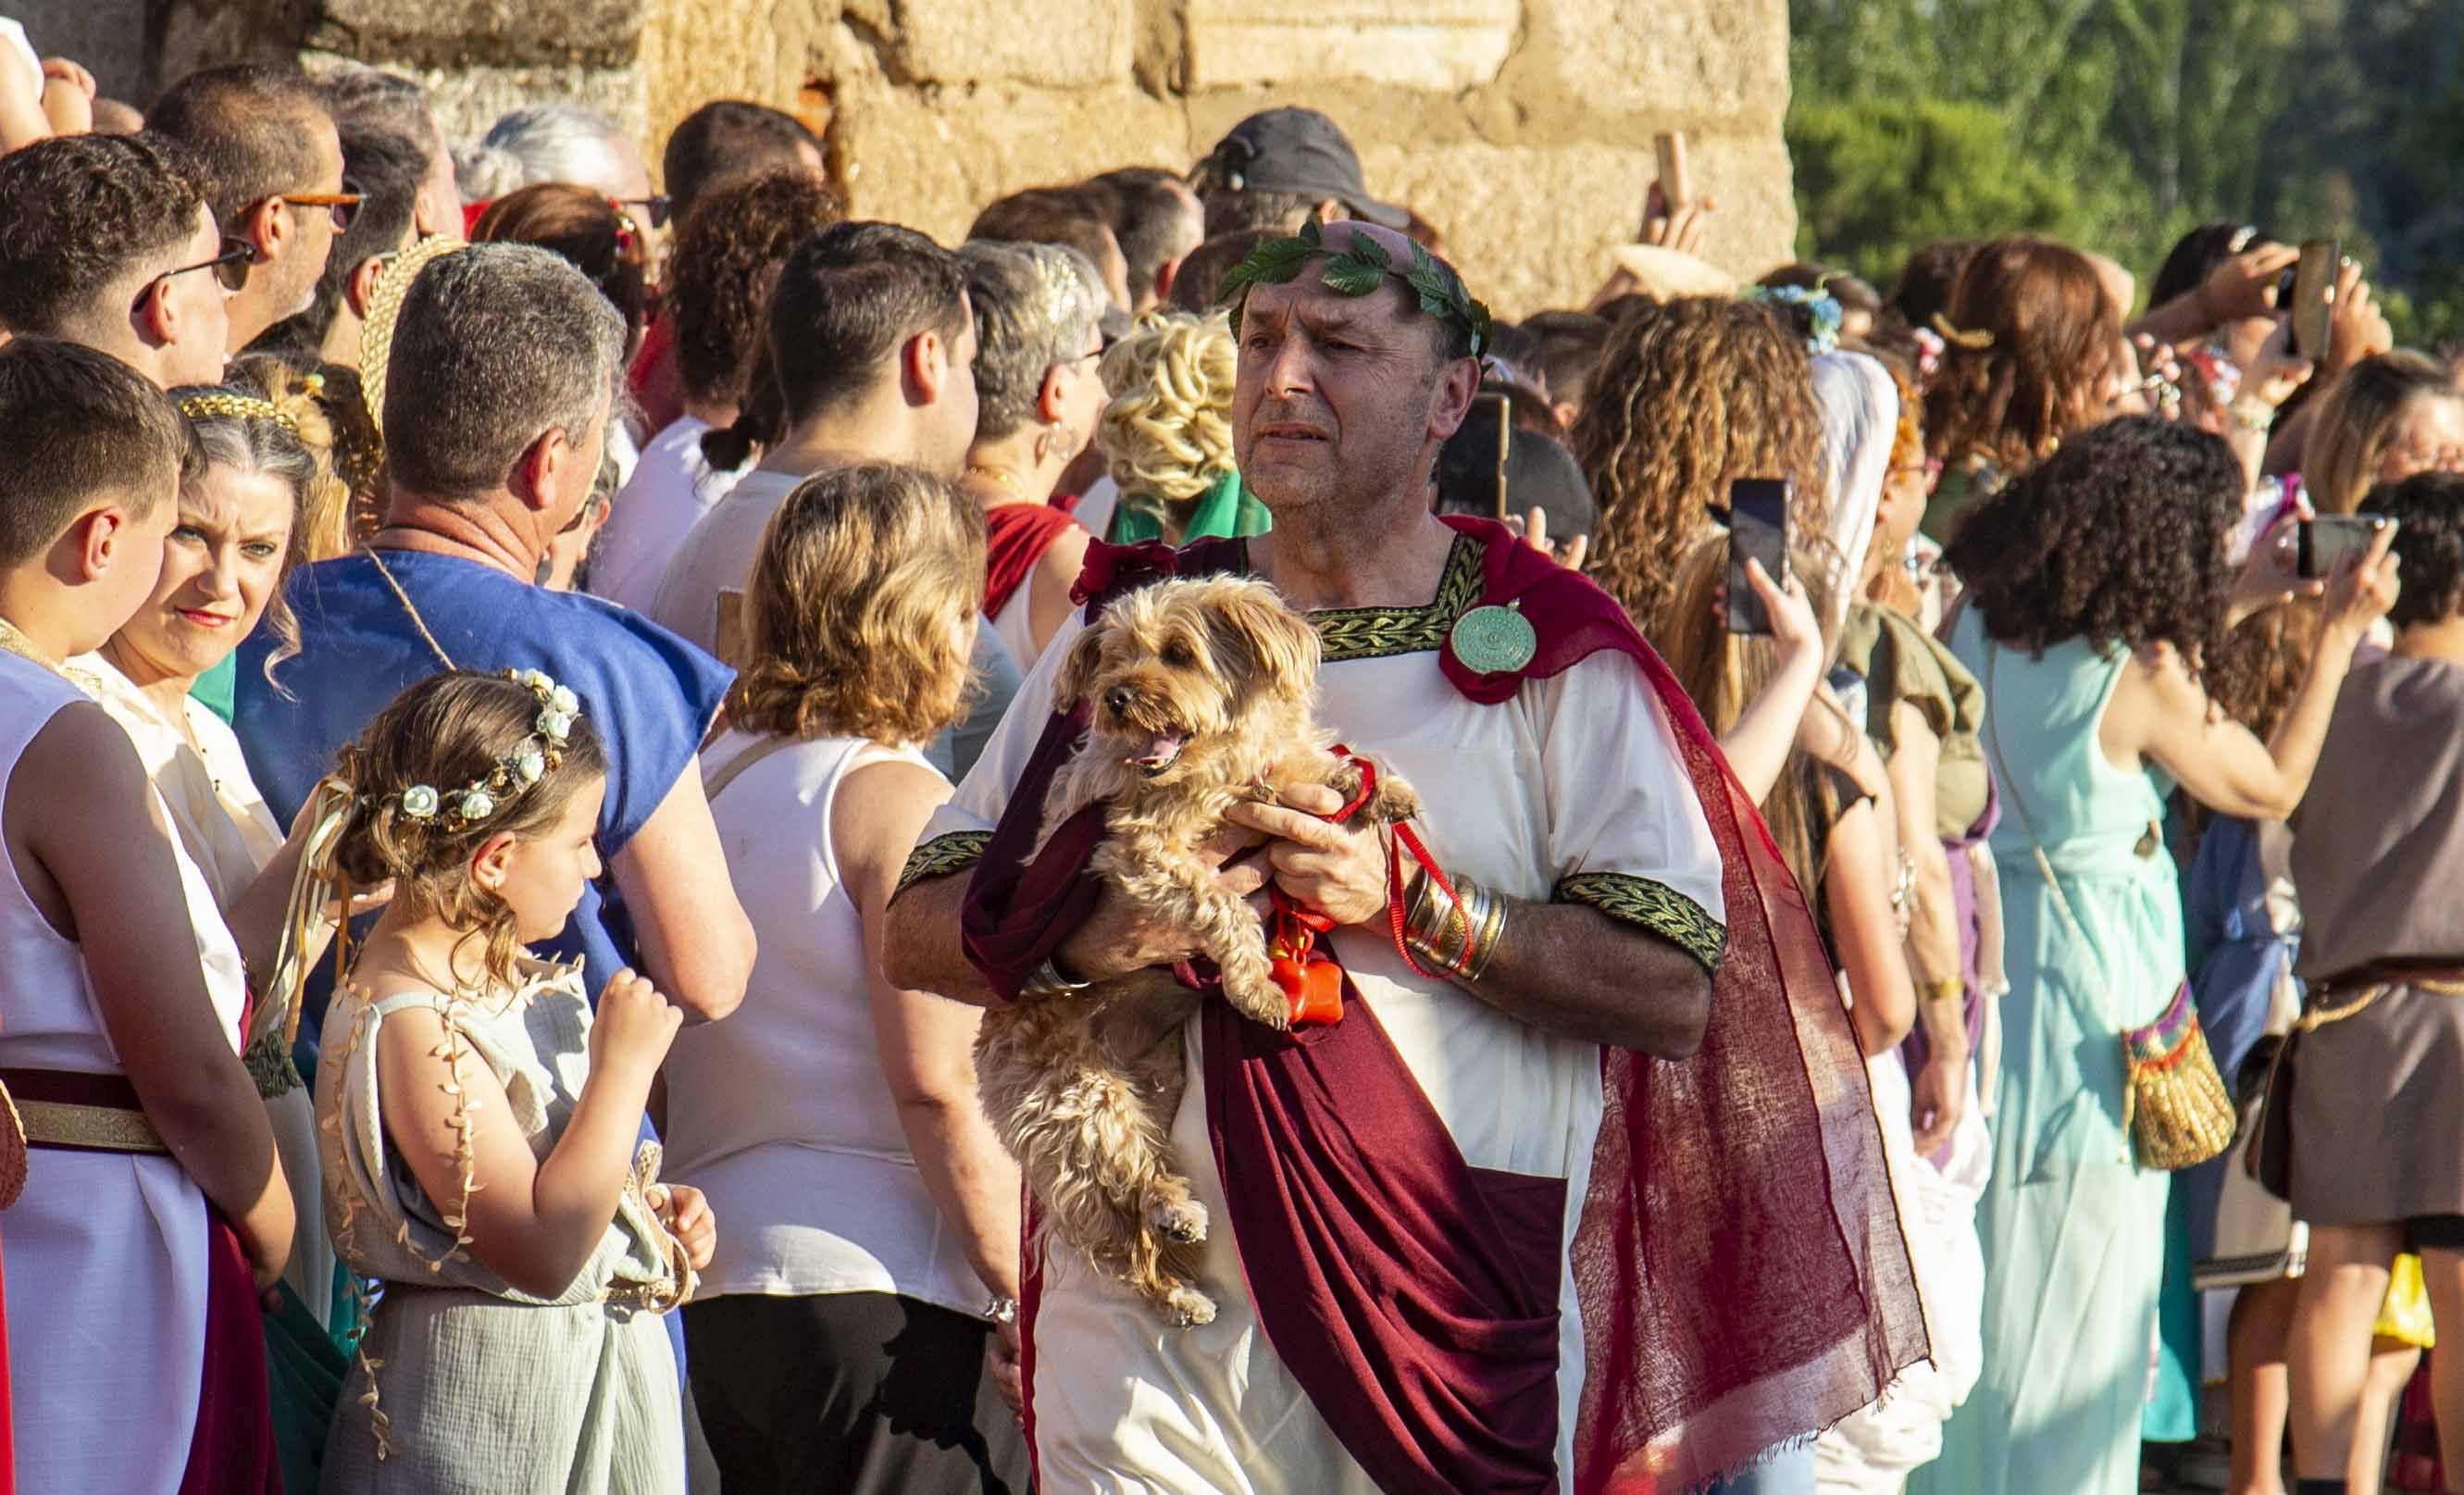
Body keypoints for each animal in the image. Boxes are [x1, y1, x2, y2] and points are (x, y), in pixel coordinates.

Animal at [970, 573, 1419, 1320]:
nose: (1118, 697)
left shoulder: (1270, 775)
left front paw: (1378, 786)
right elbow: (1225, 908)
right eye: (1113, 658)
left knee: (1136, 1210)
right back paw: (1176, 1242)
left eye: (1179, 652)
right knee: (1126, 1204)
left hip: (1154, 1085)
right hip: (1079, 1103)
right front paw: (1260, 987)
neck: (1207, 769)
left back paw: (1177, 1258)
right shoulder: (1140, 852)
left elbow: (1313, 760)